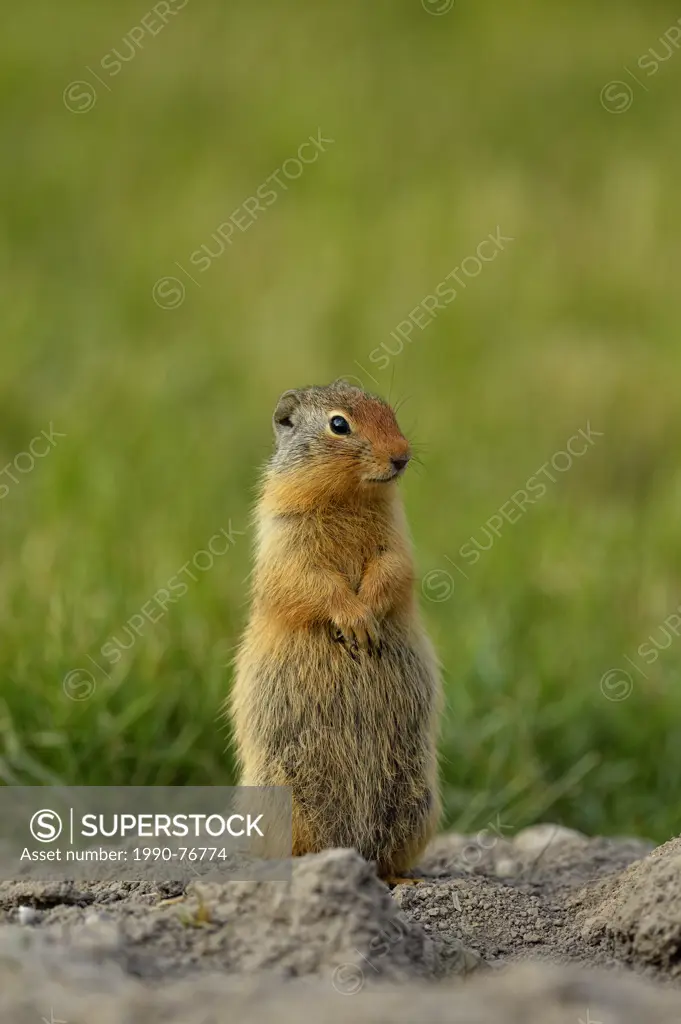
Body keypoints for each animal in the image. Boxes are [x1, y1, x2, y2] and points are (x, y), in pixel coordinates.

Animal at [229, 380, 440, 876]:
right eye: (339, 424)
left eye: (390, 412)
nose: (402, 456)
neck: (349, 498)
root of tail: (352, 846)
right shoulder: (286, 538)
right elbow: (309, 581)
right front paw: (355, 621)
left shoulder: (396, 537)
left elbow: (393, 569)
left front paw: (370, 616)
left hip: (418, 799)